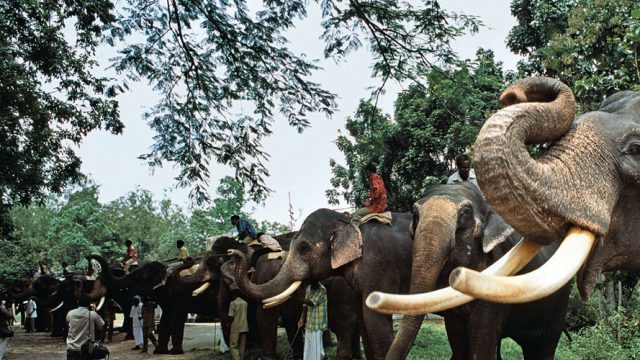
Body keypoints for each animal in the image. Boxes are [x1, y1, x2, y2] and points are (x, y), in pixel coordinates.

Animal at [228, 208, 412, 360]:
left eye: (304, 248)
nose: (232, 252)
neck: (348, 222)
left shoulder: (379, 263)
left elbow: (374, 317)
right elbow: (362, 316)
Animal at [368, 184, 572, 358]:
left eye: (465, 213)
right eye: (415, 214)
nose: (373, 298)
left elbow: (481, 340)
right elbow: (457, 338)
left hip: (562, 299)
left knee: (546, 343)